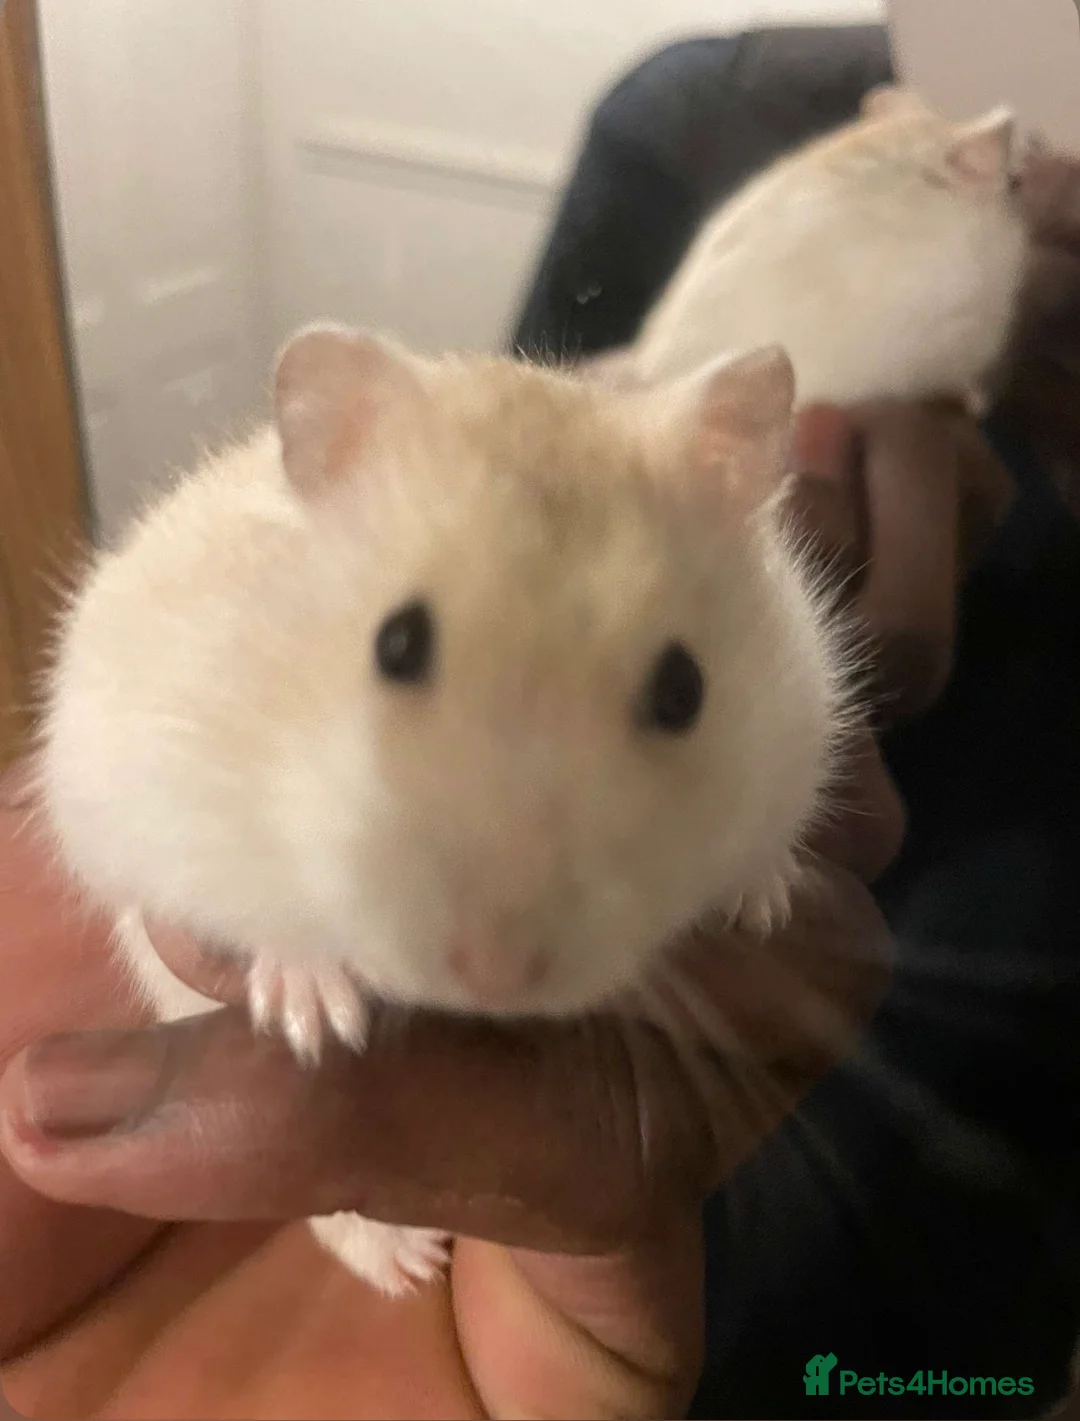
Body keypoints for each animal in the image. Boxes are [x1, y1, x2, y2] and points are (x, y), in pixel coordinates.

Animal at [35, 323, 855, 1296]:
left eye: (683, 689)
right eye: (396, 643)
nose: (495, 975)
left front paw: (766, 904)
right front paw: (317, 1015)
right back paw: (411, 1263)